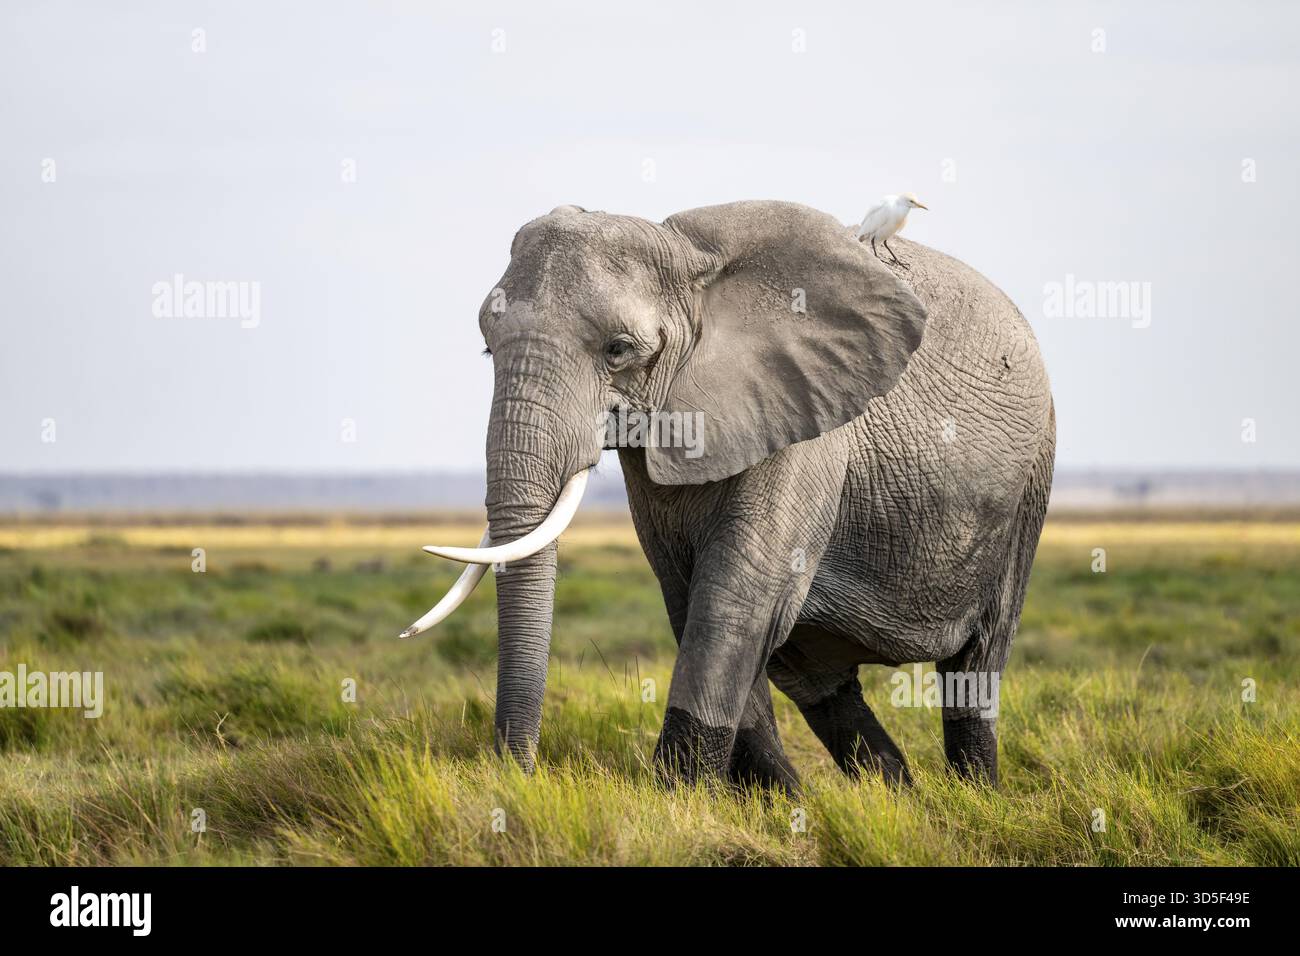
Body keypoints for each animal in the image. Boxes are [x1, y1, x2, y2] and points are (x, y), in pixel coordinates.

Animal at [404, 200, 1055, 791]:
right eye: (488, 348)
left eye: (618, 349)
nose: (519, 778)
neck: (691, 260)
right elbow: (690, 598)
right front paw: (749, 803)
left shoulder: (804, 418)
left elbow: (732, 598)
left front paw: (676, 802)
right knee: (813, 677)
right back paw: (884, 799)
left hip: (1028, 487)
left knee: (975, 668)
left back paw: (973, 796)